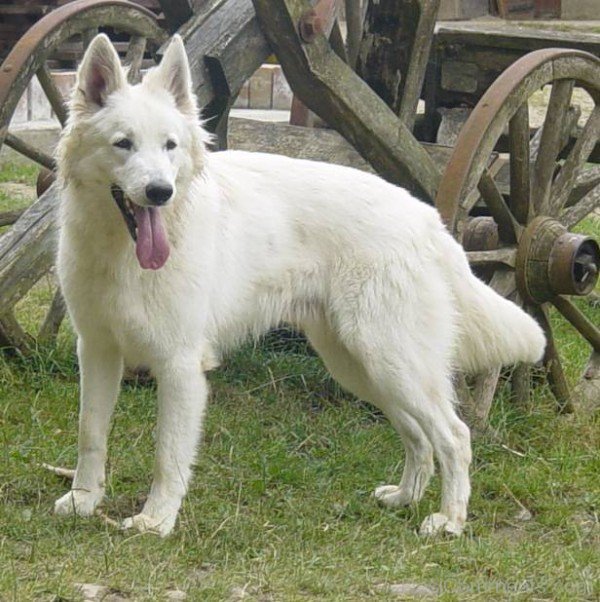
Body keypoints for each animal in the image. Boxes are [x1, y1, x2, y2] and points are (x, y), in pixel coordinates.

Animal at [54, 34, 548, 536]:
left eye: (170, 146)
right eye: (123, 144)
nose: (160, 193)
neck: (121, 252)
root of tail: (429, 219)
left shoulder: (179, 366)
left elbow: (167, 454)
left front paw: (156, 520)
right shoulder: (96, 351)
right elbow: (90, 433)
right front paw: (84, 499)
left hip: (393, 362)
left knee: (455, 435)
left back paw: (449, 520)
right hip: (363, 368)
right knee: (417, 435)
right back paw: (404, 498)